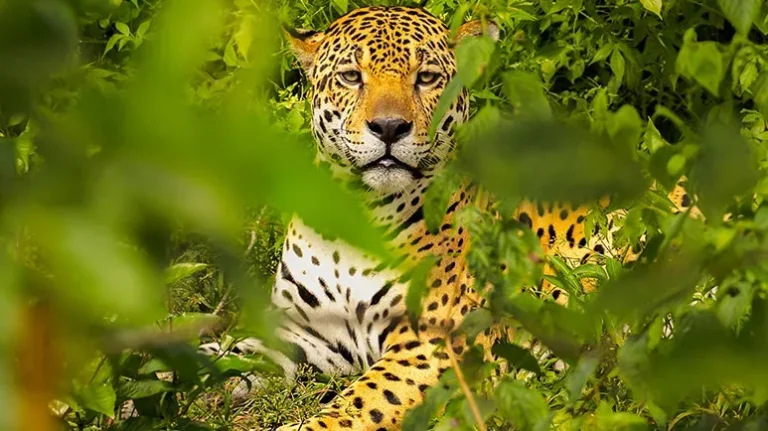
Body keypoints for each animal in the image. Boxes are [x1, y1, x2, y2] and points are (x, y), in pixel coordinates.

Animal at [198, 6, 699, 430]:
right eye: (351, 77)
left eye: (426, 78)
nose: (389, 128)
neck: (361, 212)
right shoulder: (300, 330)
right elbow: (224, 351)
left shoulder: (433, 346)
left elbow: (354, 405)